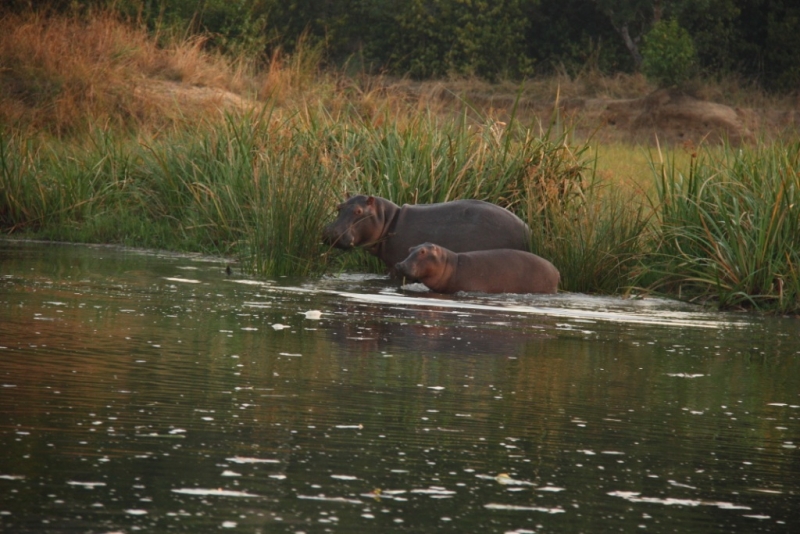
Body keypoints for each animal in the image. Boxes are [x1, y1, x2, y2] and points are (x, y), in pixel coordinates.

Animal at [318, 197, 532, 280]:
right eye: (338, 207)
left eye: (358, 211)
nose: (331, 232)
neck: (387, 219)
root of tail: (528, 230)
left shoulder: (396, 265)